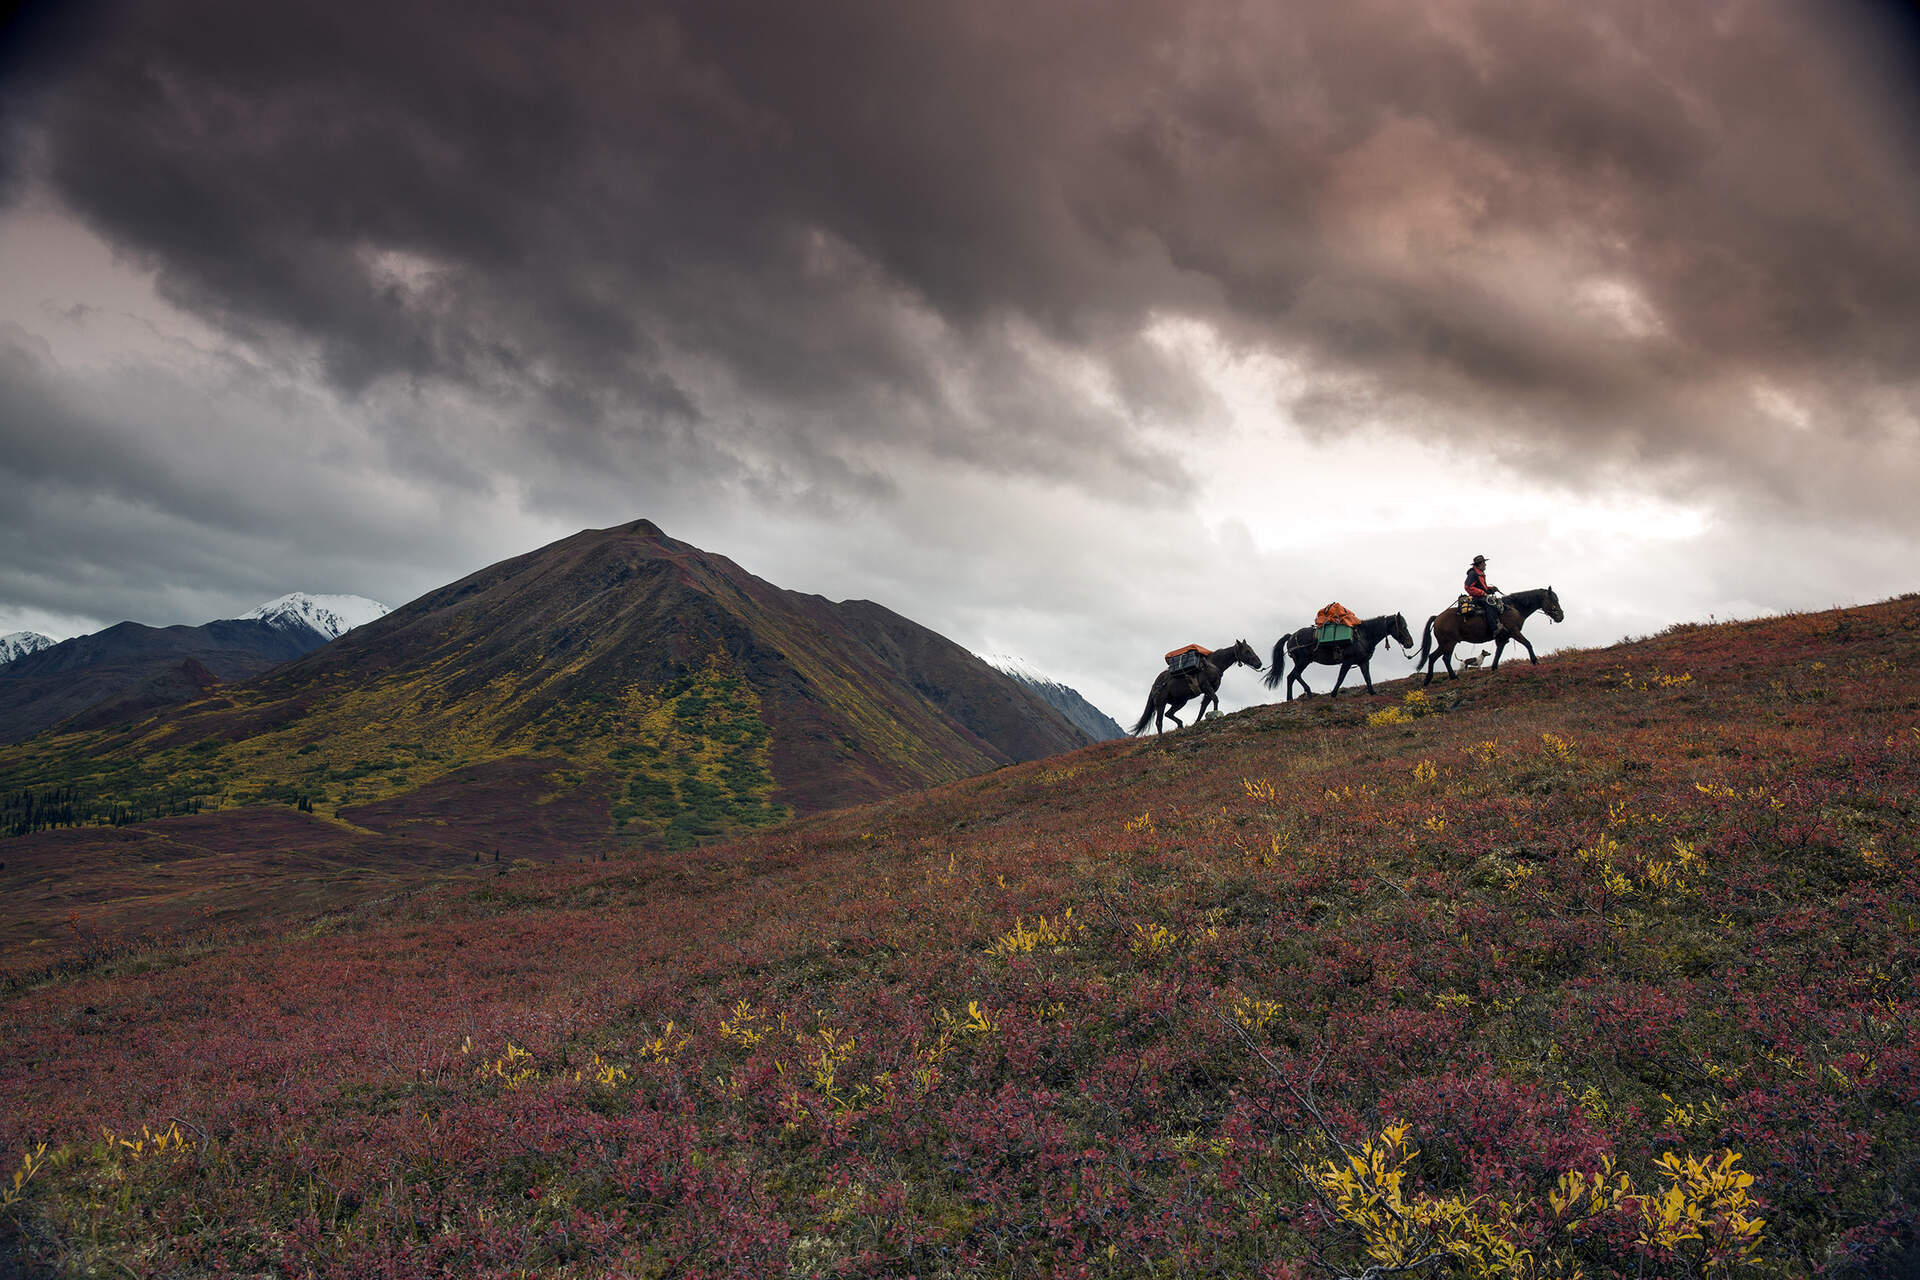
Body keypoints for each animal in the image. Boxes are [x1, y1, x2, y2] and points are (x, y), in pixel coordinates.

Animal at [1267, 614, 1420, 702]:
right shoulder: (1347, 661)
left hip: (1304, 661)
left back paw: (1293, 697)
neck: (1363, 636)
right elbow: (1341, 677)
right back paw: (1304, 693)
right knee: (1293, 675)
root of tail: (1291, 636)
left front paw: (1372, 692)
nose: (1410, 643)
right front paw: (1333, 694)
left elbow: (1367, 678)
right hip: (1302, 661)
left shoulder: (1363, 662)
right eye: (1403, 626)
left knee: (1292, 676)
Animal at [1413, 587, 1559, 687]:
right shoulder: (1514, 632)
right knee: (1445, 658)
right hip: (1450, 643)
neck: (1514, 608)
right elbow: (1528, 643)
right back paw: (1453, 677)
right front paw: (1535, 661)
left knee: (1432, 656)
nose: (1561, 616)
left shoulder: (1503, 637)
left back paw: (1428, 680)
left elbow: (1498, 652)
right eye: (1554, 600)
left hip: (1443, 644)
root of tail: (1437, 617)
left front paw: (1494, 668)